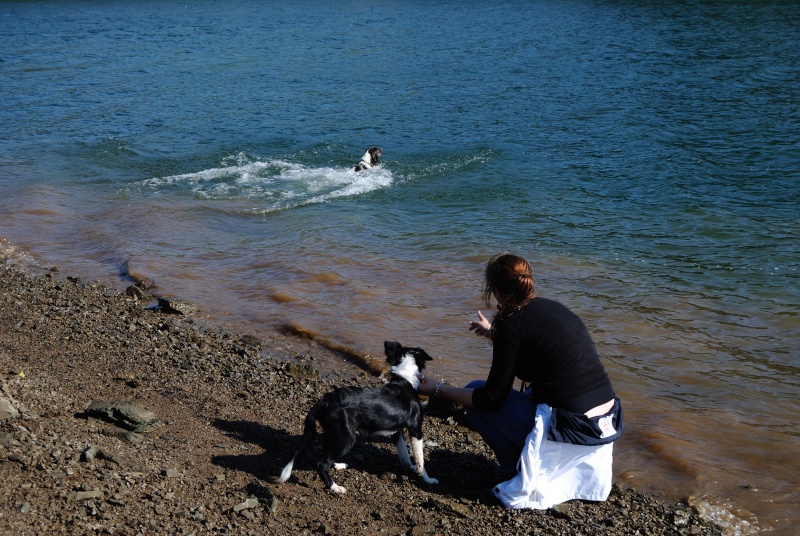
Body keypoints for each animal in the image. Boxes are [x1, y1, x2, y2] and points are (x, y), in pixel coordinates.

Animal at [276, 342, 438, 492]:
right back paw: (335, 487)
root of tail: (324, 400)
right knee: (320, 464)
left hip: (335, 434)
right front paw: (428, 479)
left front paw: (410, 467)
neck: (405, 380)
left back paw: (338, 465)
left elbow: (404, 454)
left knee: (326, 454)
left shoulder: (396, 433)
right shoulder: (416, 431)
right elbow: (421, 461)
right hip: (347, 437)